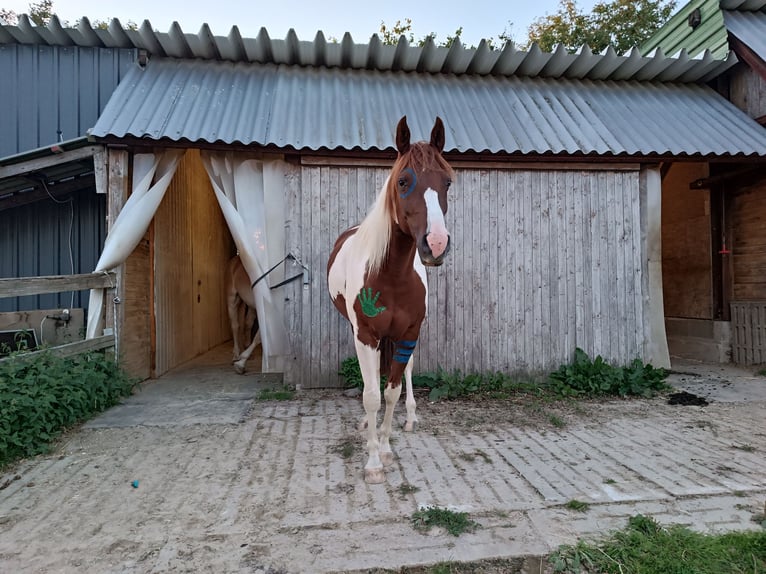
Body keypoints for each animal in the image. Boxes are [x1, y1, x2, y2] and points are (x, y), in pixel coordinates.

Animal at [326, 118, 456, 486]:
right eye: (403, 181)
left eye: (447, 181)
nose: (436, 244)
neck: (393, 273)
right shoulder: (366, 335)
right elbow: (372, 395)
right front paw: (372, 461)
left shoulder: (409, 334)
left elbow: (392, 392)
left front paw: (384, 447)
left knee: (405, 372)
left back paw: (410, 418)